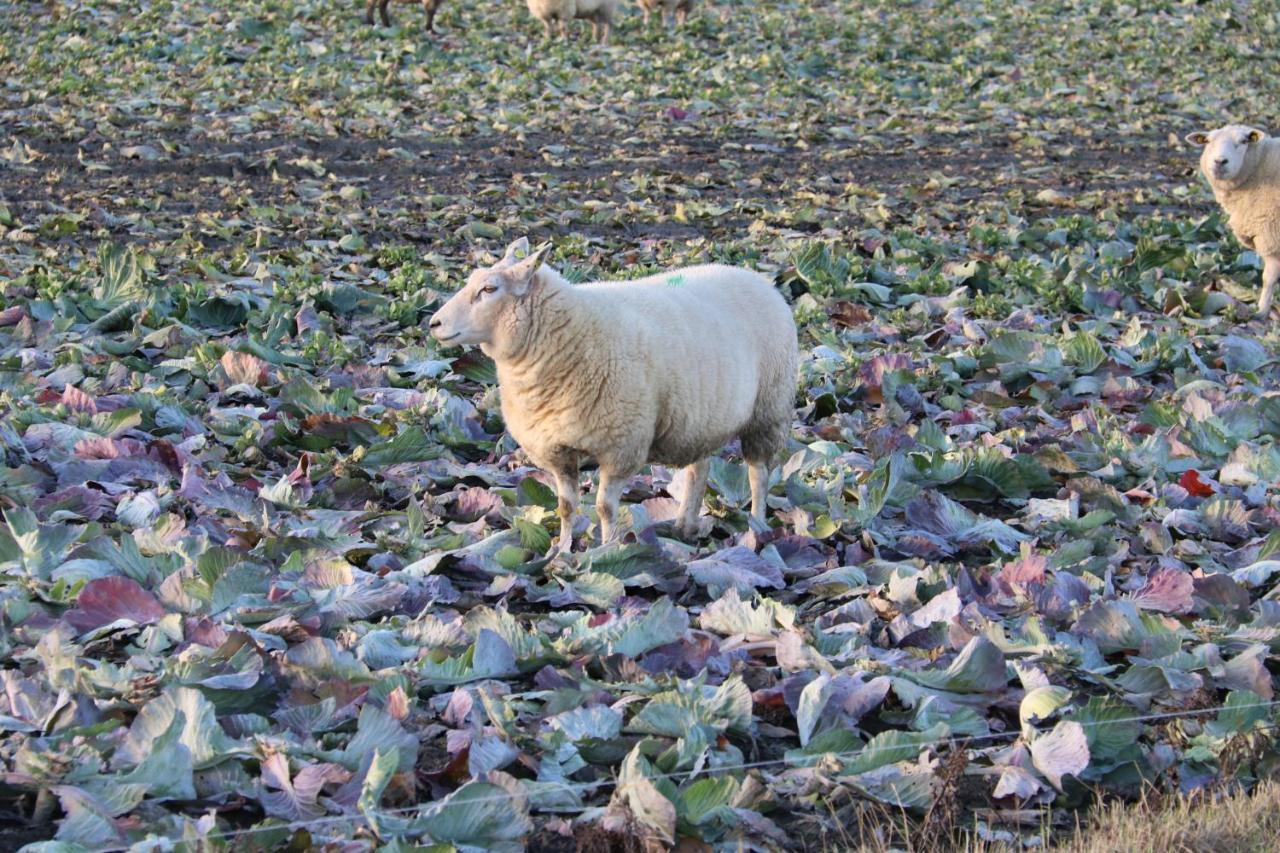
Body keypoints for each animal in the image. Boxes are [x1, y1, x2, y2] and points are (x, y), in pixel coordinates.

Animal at [427, 236, 798, 550]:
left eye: (489, 289)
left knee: (758, 476)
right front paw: (562, 551)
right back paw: (684, 526)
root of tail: (755, 277)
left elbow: (605, 507)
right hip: (700, 417)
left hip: (769, 411)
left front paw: (607, 551)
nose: (433, 324)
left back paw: (757, 528)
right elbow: (565, 506)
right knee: (699, 469)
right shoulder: (555, 450)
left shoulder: (621, 445)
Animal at [1182, 122, 1274, 312]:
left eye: (1244, 141)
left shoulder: (1271, 236)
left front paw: (1261, 312)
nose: (1220, 161)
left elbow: (1268, 278)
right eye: (1208, 141)